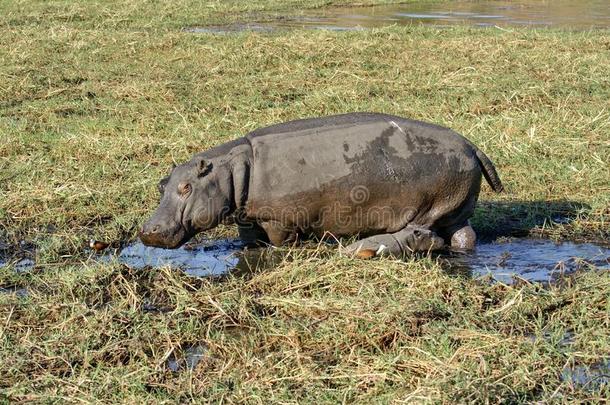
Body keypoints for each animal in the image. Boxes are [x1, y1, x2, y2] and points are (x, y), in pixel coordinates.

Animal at [140, 112, 502, 254]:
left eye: (186, 187)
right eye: (162, 184)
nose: (148, 230)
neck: (230, 167)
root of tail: (472, 145)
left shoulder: (278, 220)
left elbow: (278, 244)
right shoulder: (249, 217)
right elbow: (250, 240)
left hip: (430, 205)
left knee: (423, 232)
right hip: (455, 205)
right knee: (463, 235)